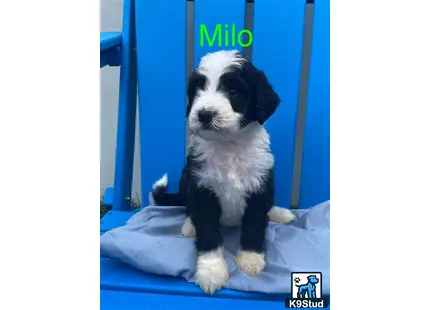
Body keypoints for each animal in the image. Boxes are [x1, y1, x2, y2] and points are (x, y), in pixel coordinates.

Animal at [149, 49, 290, 294]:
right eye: (198, 89)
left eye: (233, 90)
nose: (204, 114)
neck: (229, 145)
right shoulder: (202, 188)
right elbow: (208, 232)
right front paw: (211, 271)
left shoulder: (260, 185)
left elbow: (254, 224)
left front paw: (250, 260)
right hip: (186, 178)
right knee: (189, 207)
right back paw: (190, 226)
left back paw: (279, 213)